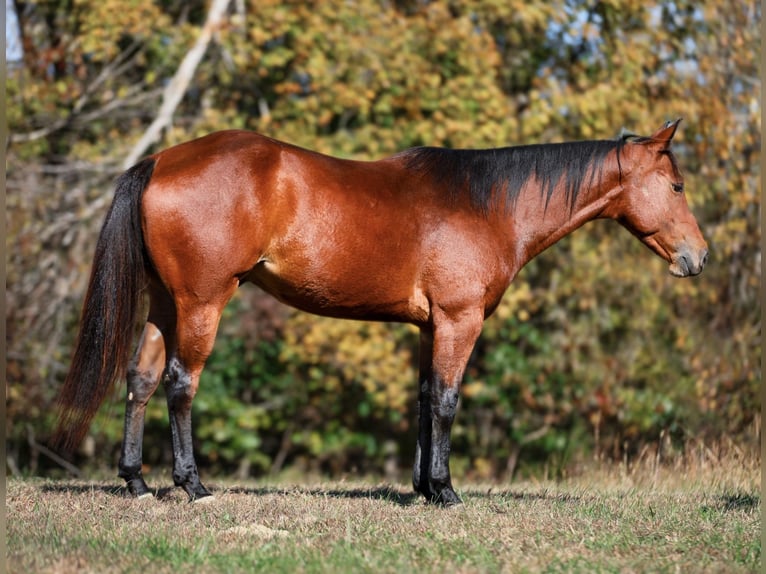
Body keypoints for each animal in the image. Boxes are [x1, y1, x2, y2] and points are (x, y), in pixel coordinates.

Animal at [52, 119, 708, 505]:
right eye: (676, 186)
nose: (698, 256)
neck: (487, 205)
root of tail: (161, 161)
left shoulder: (429, 326)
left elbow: (422, 400)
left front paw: (420, 489)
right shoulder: (459, 320)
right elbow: (447, 400)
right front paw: (445, 491)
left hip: (165, 304)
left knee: (139, 380)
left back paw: (137, 482)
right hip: (202, 303)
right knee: (180, 382)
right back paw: (192, 485)